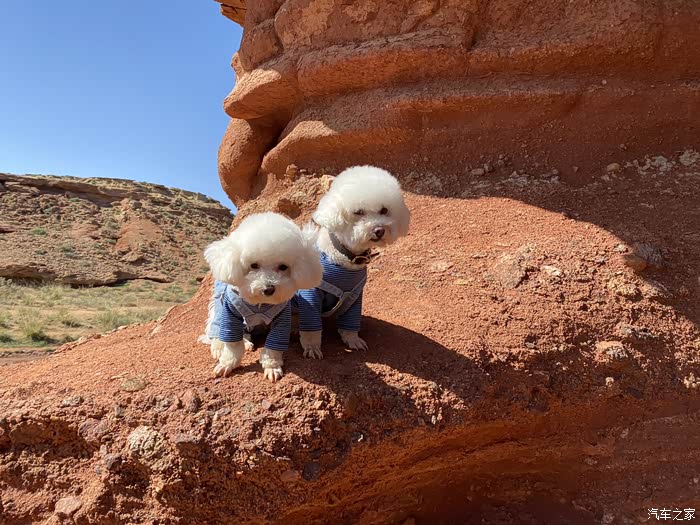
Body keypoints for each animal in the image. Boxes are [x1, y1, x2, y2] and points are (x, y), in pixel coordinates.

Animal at [201, 212, 322, 382]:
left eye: (283, 267)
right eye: (254, 265)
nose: (269, 289)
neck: (260, 304)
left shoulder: (281, 318)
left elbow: (273, 347)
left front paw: (272, 367)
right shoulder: (230, 313)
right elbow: (232, 344)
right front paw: (227, 364)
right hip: (219, 311)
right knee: (216, 330)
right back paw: (223, 346)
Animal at [294, 166, 410, 359]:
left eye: (384, 210)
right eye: (359, 212)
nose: (379, 230)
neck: (345, 258)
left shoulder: (355, 296)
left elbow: (350, 324)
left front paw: (353, 340)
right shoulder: (310, 295)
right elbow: (311, 329)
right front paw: (312, 347)